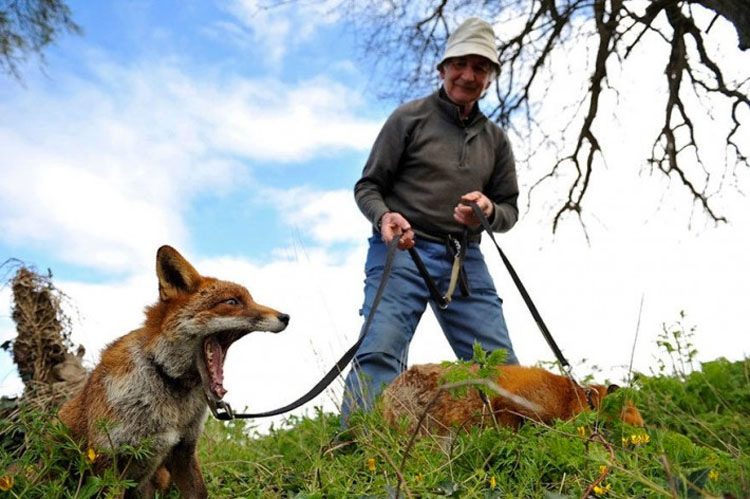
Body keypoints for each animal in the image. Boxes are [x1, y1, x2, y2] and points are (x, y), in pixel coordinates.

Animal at [57, 244, 288, 498]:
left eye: (251, 299)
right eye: (233, 302)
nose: (285, 317)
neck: (165, 378)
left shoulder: (183, 450)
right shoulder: (107, 461)